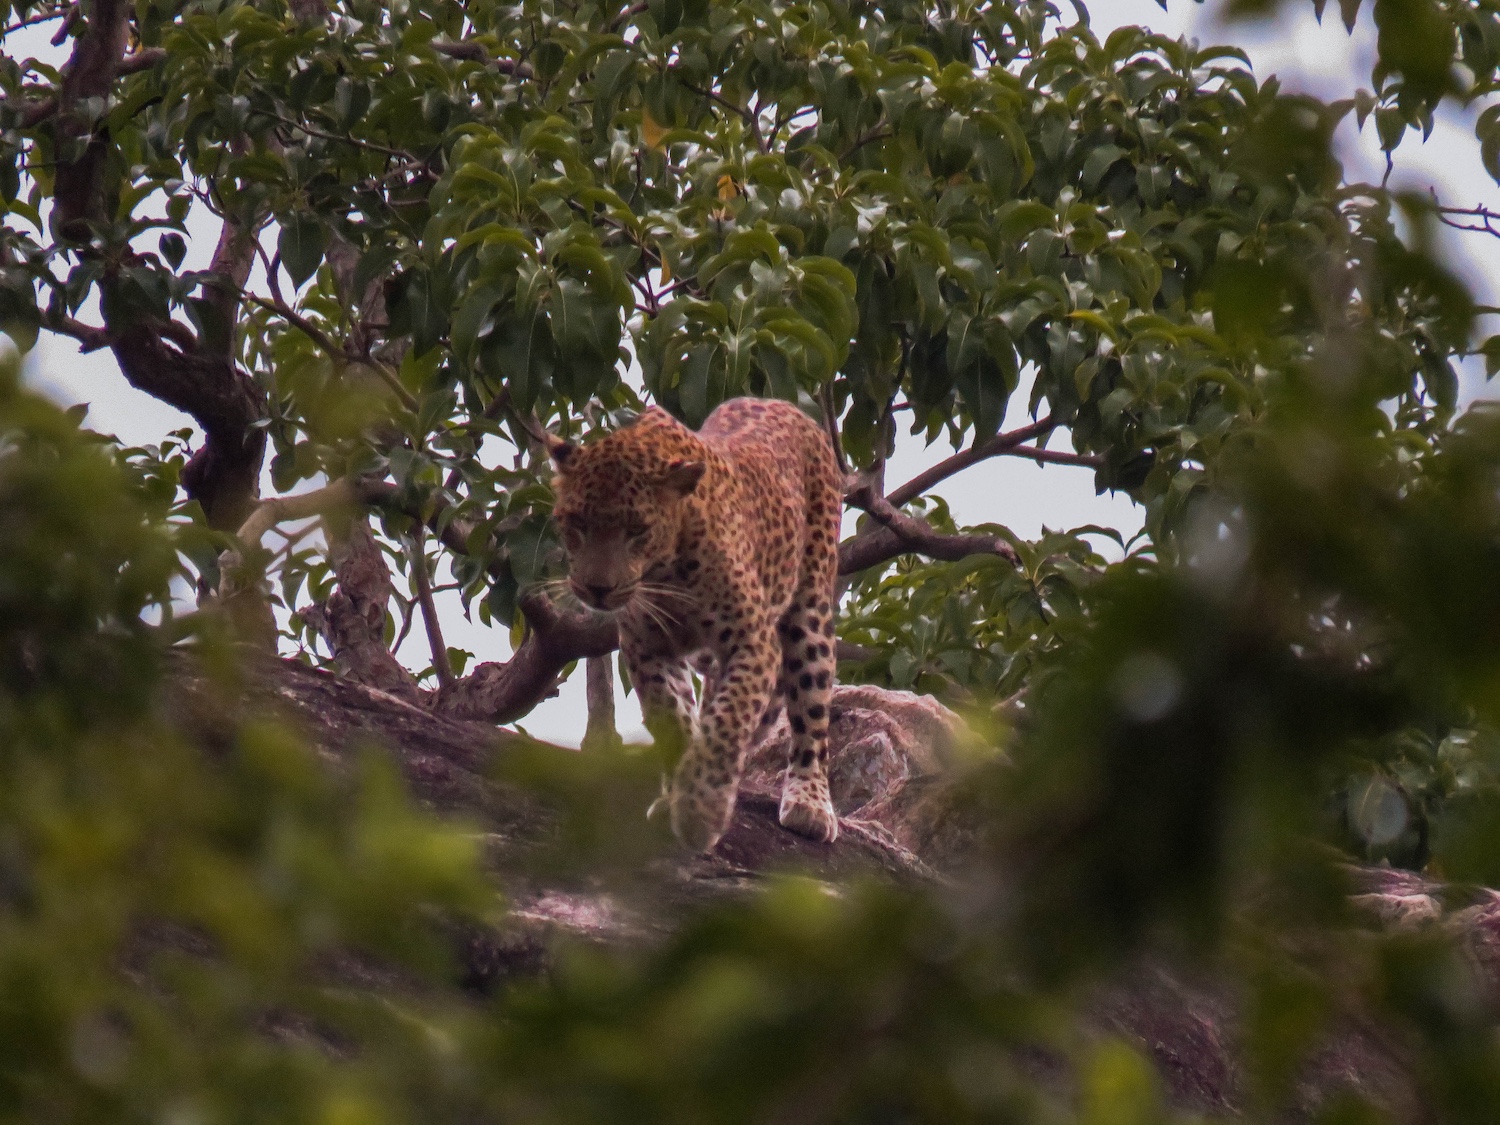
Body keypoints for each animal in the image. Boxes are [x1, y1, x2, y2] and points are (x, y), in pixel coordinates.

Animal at [546, 397, 843, 853]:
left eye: (637, 530)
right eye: (577, 523)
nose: (597, 589)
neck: (665, 570)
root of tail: (786, 404)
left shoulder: (752, 640)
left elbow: (729, 719)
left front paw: (702, 809)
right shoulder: (646, 647)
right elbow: (673, 717)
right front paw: (680, 795)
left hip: (809, 609)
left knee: (810, 709)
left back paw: (809, 803)